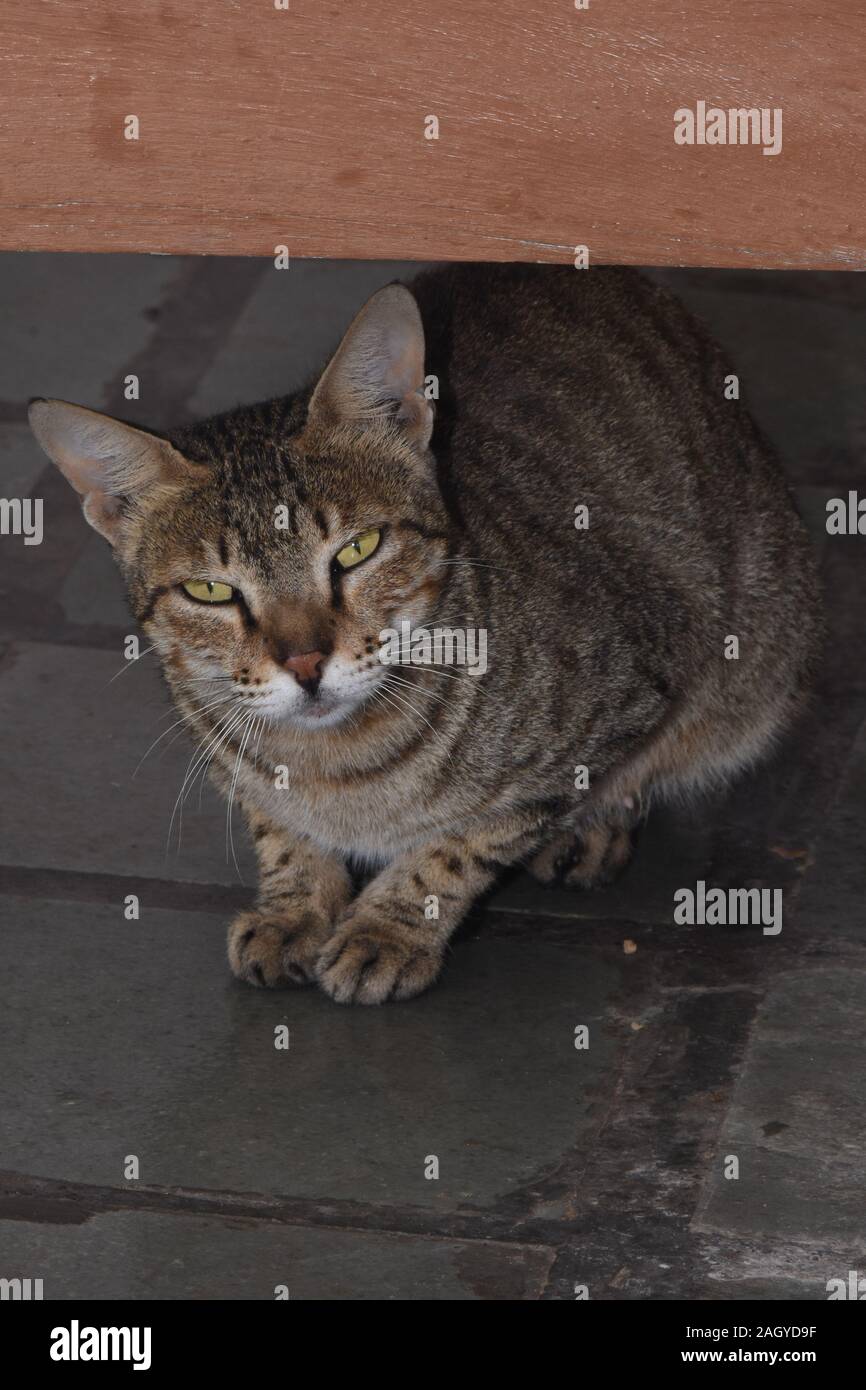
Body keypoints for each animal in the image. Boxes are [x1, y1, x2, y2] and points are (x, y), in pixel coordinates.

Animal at [30, 262, 822, 1000]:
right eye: (211, 591)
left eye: (356, 550)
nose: (306, 663)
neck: (333, 764)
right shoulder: (228, 752)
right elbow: (276, 826)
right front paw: (294, 905)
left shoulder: (626, 691)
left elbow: (466, 840)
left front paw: (388, 929)